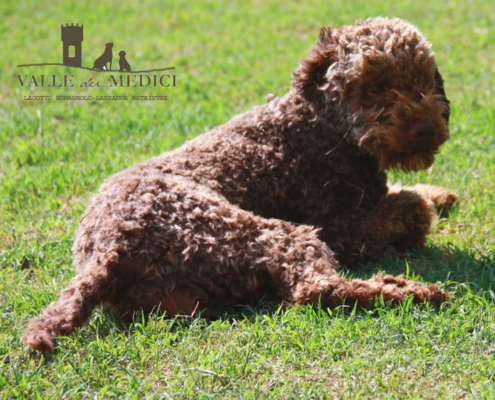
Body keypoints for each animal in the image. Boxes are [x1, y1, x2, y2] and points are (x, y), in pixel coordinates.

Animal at [23, 17, 458, 352]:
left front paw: (440, 194)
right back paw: (411, 291)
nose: (425, 129)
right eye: (375, 87)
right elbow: (413, 209)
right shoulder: (345, 226)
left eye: (423, 80)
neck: (322, 124)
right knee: (315, 290)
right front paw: (423, 205)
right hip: (267, 232)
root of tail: (107, 252)